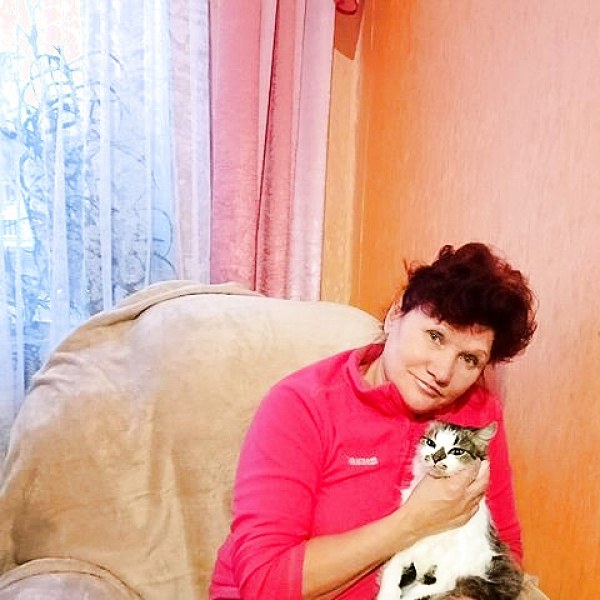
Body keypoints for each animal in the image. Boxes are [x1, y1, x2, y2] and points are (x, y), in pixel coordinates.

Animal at [376, 421, 523, 600]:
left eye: (457, 451)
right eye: (431, 443)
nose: (436, 457)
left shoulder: (457, 563)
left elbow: (438, 585)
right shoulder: (408, 544)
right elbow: (392, 570)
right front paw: (388, 593)